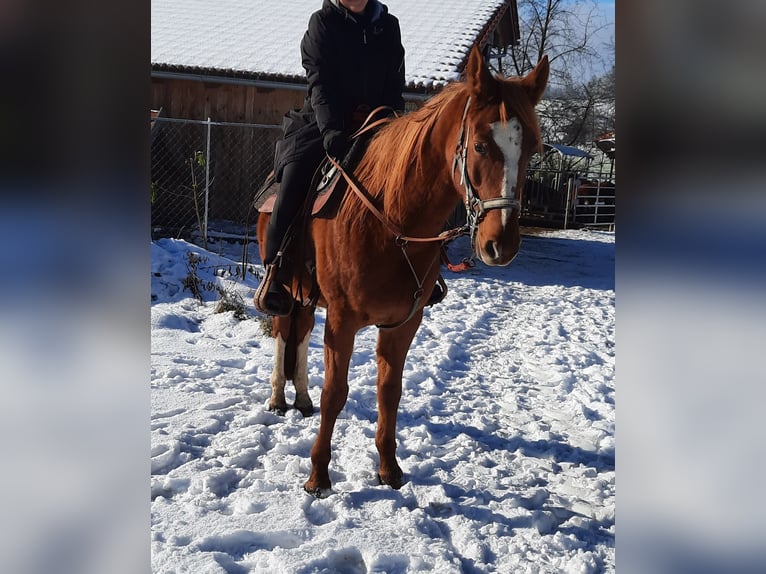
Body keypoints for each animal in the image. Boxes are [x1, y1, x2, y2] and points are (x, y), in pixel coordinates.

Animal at [256, 45, 549, 496]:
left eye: (532, 147)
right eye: (481, 146)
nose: (501, 244)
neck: (389, 219)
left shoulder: (403, 323)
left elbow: (389, 391)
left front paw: (389, 469)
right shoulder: (341, 321)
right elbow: (335, 393)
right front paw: (318, 476)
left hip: (307, 293)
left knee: (299, 333)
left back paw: (299, 398)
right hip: (285, 286)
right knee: (283, 330)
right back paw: (277, 397)